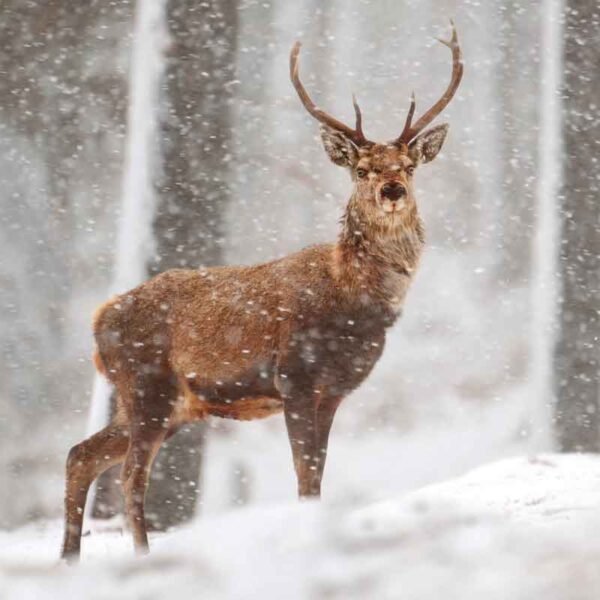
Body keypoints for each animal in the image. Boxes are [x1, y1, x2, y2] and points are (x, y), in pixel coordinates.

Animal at [61, 21, 464, 560]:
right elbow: (305, 476)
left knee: (81, 454)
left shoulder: (334, 391)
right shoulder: (294, 377)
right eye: (361, 170)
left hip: (161, 402)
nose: (392, 190)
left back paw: (68, 559)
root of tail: (98, 319)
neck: (354, 303)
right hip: (147, 385)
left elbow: (318, 475)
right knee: (130, 475)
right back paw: (141, 555)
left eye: (409, 166)